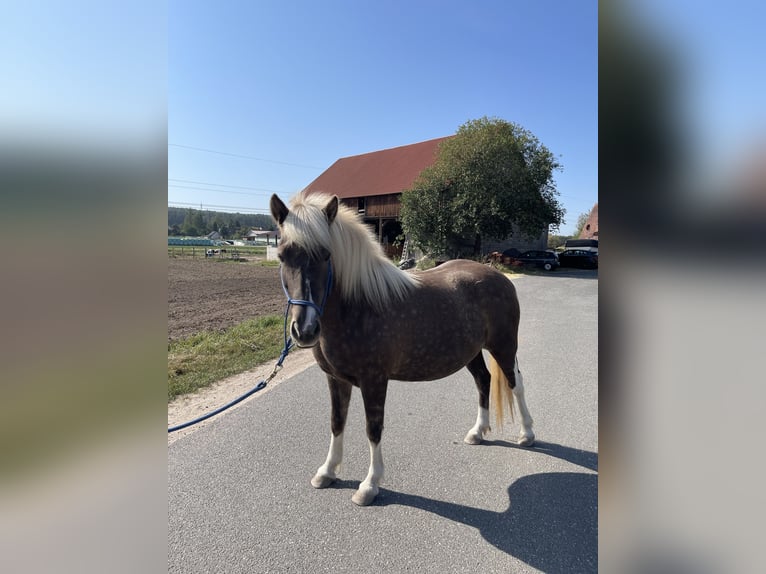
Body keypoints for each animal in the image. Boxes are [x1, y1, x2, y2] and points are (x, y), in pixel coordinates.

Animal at [272, 191, 536, 506]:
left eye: (326, 255)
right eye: (282, 256)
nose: (305, 330)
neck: (358, 306)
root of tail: (500, 276)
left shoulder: (374, 381)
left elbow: (373, 429)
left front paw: (369, 485)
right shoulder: (335, 379)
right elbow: (337, 422)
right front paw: (327, 471)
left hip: (504, 346)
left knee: (515, 384)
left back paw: (527, 434)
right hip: (471, 352)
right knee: (484, 381)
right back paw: (477, 432)